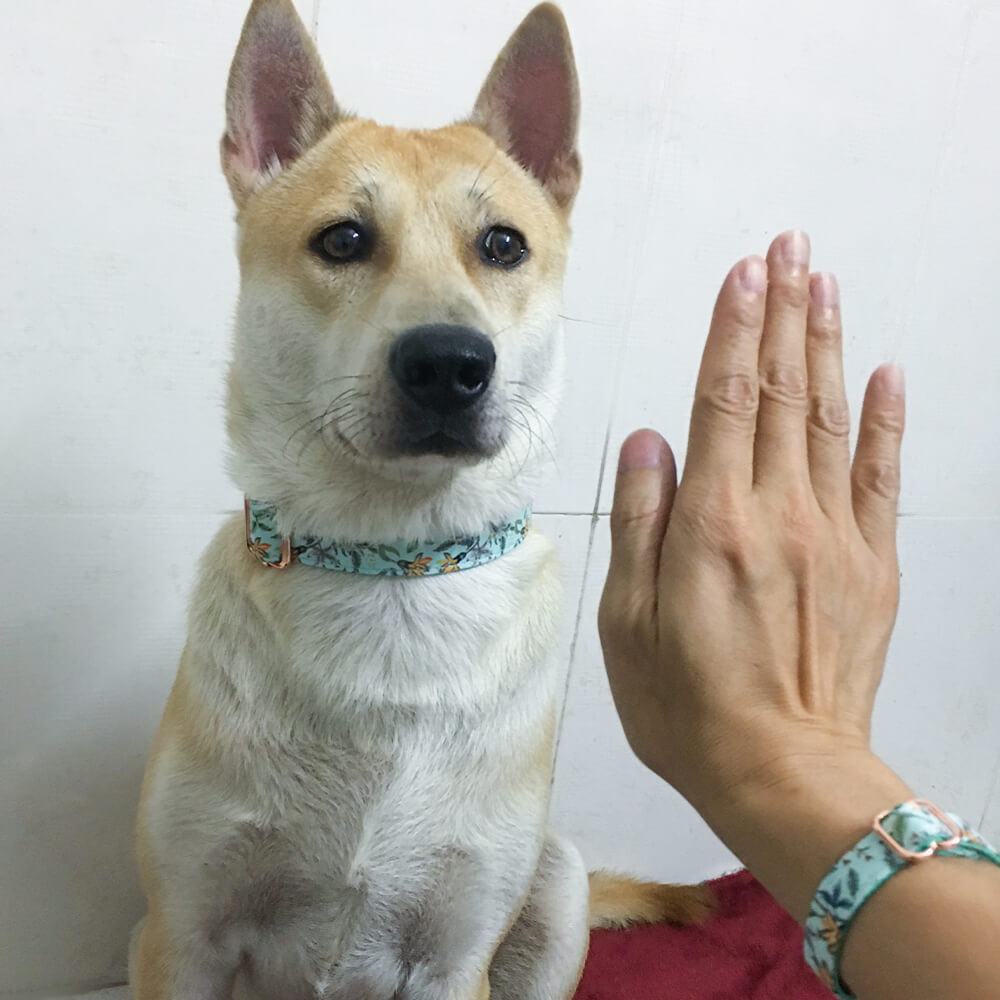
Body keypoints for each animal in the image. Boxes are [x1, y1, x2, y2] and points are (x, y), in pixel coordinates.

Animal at [133, 1, 712, 1000]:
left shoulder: (453, 953)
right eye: (343, 240)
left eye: (503, 245)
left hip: (554, 885)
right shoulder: (180, 937)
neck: (395, 568)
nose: (449, 363)